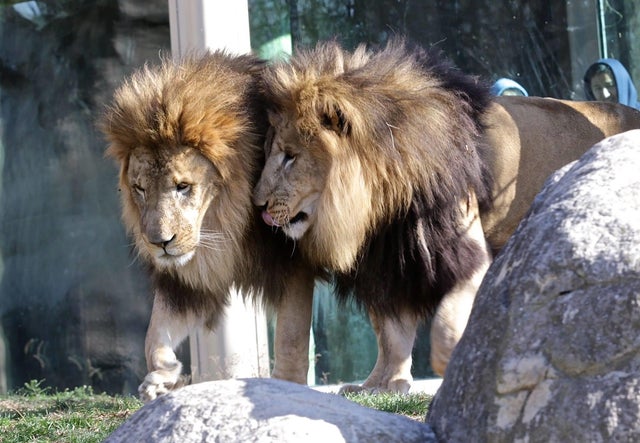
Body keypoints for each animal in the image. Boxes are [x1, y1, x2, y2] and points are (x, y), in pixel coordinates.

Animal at [100, 51, 315, 402]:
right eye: (140, 189)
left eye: (183, 186)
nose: (160, 242)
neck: (225, 224)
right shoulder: (187, 282)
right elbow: (154, 333)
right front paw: (163, 377)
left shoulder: (294, 263)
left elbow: (291, 338)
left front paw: (288, 386)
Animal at [253, 39, 640, 392]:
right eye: (269, 153)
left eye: (290, 156)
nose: (258, 204)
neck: (380, 202)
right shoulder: (390, 258)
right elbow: (391, 333)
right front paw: (381, 384)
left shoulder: (461, 248)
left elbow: (450, 312)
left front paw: (449, 359)